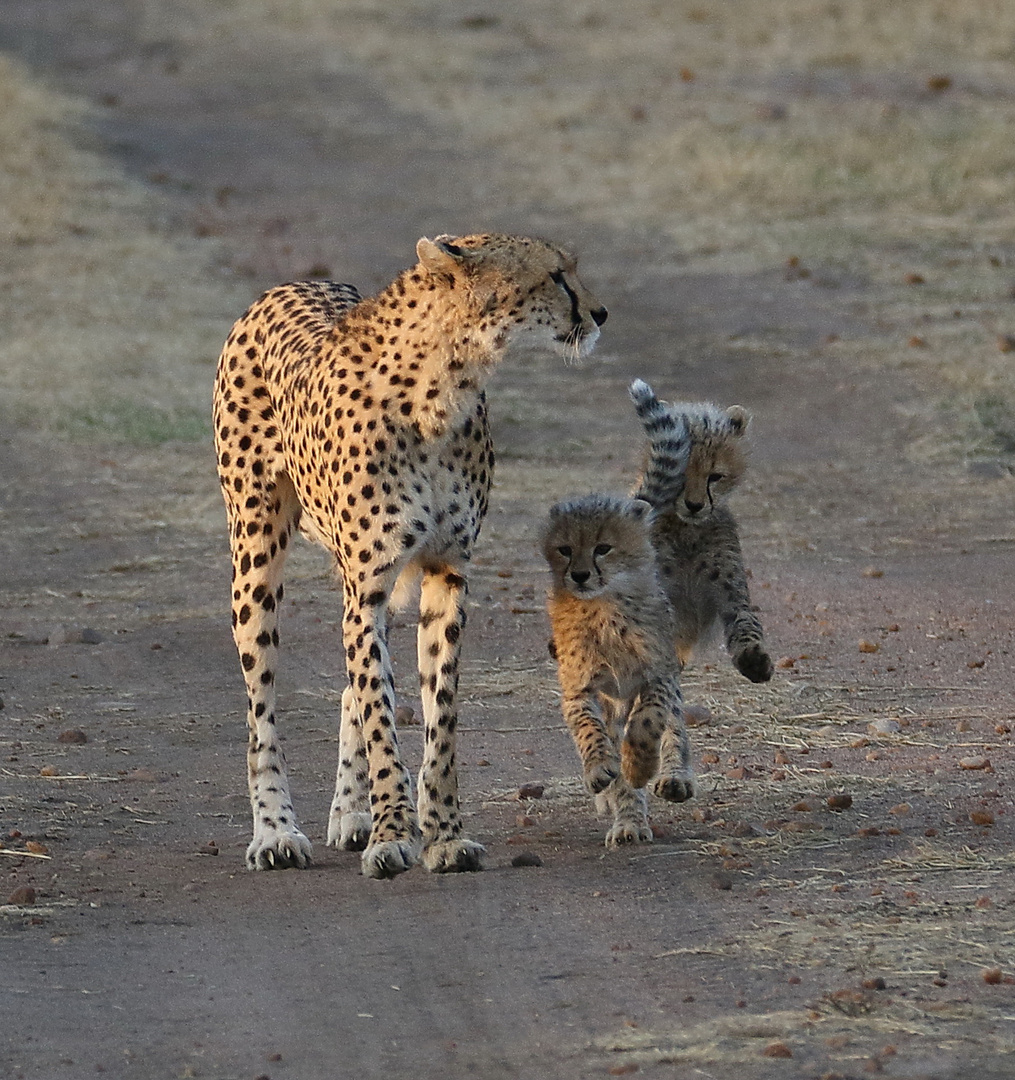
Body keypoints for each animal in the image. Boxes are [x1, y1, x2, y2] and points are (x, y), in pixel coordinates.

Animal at [208, 234, 604, 876]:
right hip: (255, 556)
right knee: (262, 704)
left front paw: (442, 834)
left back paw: (350, 814)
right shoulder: (367, 585)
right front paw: (394, 833)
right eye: (554, 275)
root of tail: (289, 285)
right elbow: (380, 715)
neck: (445, 385)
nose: (600, 313)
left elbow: (436, 715)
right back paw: (276, 832)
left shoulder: (446, 573)